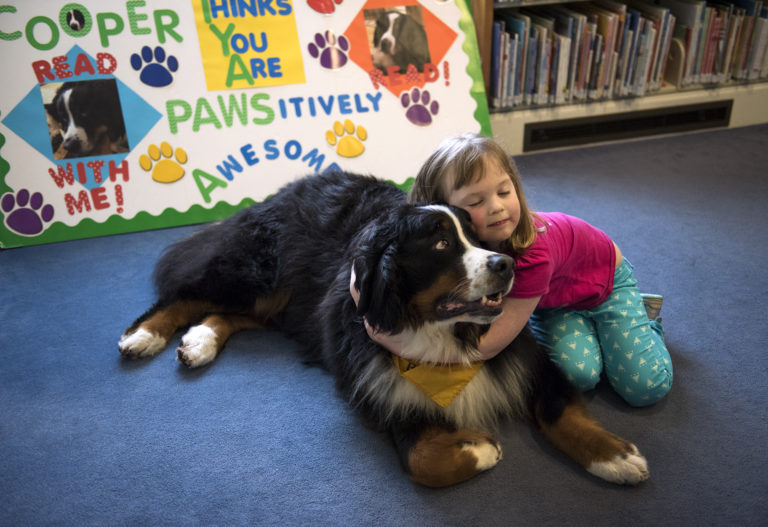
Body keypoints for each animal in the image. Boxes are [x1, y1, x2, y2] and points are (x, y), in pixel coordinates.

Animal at [120, 171, 648, 488]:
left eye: (477, 236)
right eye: (440, 244)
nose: (506, 265)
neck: (439, 332)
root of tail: (290, 186)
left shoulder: (526, 359)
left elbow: (562, 412)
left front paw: (613, 455)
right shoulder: (389, 392)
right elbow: (423, 461)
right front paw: (481, 447)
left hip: (283, 301)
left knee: (231, 314)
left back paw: (200, 341)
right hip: (255, 272)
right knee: (186, 294)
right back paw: (145, 335)